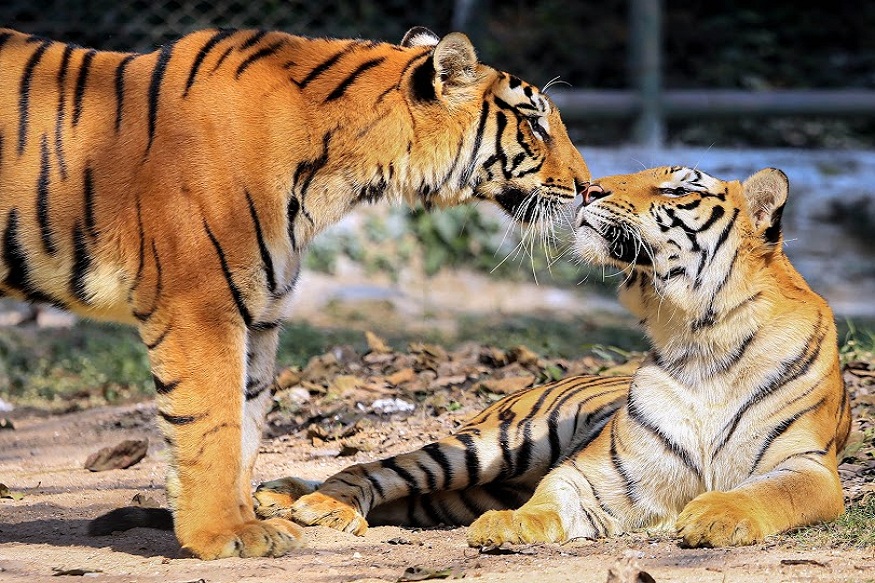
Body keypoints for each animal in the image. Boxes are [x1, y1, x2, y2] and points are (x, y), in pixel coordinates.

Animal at [0, 25, 590, 559]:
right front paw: (225, 534)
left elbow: (245, 425)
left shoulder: (258, 310)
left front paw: (253, 524)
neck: (339, 177)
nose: (587, 187)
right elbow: (210, 424)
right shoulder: (200, 304)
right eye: (535, 123)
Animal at [254, 166, 851, 548]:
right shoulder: (597, 472)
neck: (695, 333)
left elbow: (772, 493)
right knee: (374, 466)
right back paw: (311, 506)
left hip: (455, 491)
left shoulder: (807, 466)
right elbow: (552, 496)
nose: (589, 188)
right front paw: (508, 526)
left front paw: (717, 517)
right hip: (486, 447)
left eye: (678, 187)